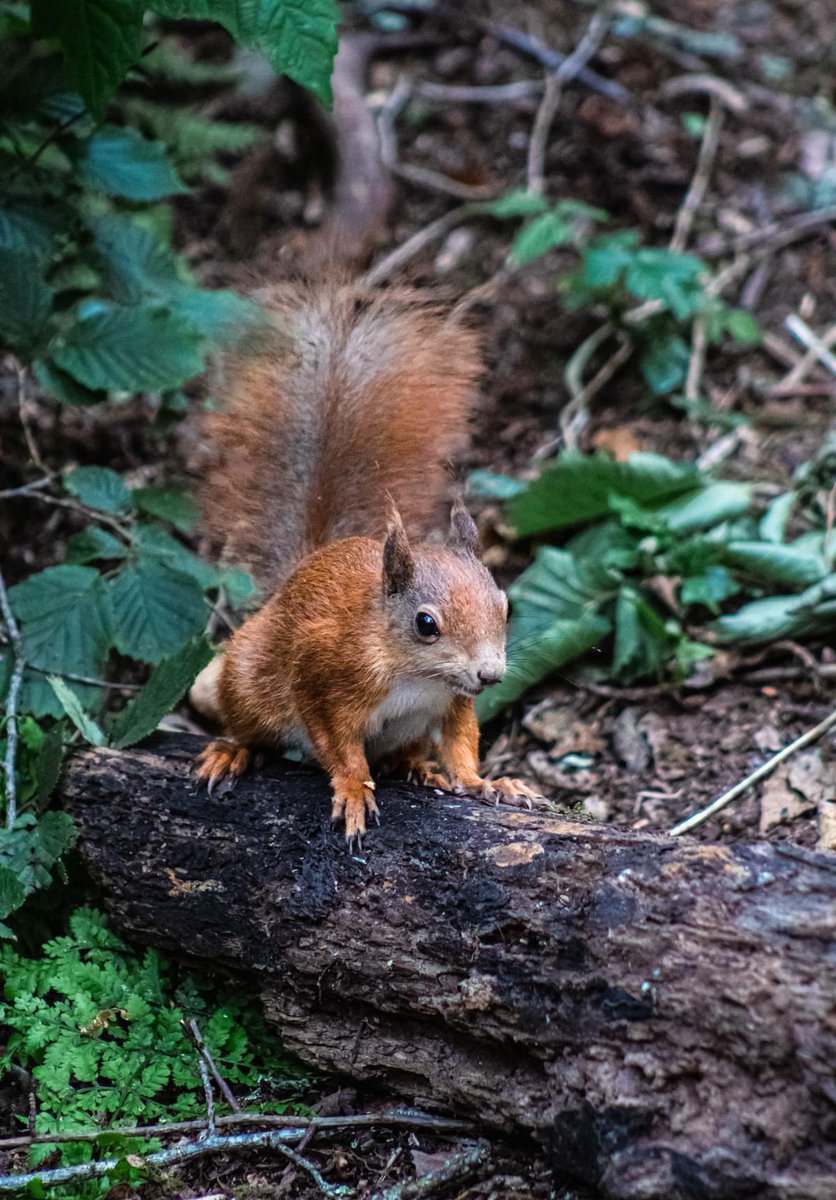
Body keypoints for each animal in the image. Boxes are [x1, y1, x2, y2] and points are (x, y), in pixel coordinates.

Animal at [191, 280, 541, 846]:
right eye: (426, 624)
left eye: (505, 608)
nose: (490, 674)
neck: (415, 675)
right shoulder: (322, 671)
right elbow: (337, 744)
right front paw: (355, 788)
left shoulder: (453, 702)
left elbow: (461, 744)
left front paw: (487, 783)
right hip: (248, 681)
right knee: (251, 726)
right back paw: (233, 750)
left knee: (407, 751)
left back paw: (415, 767)